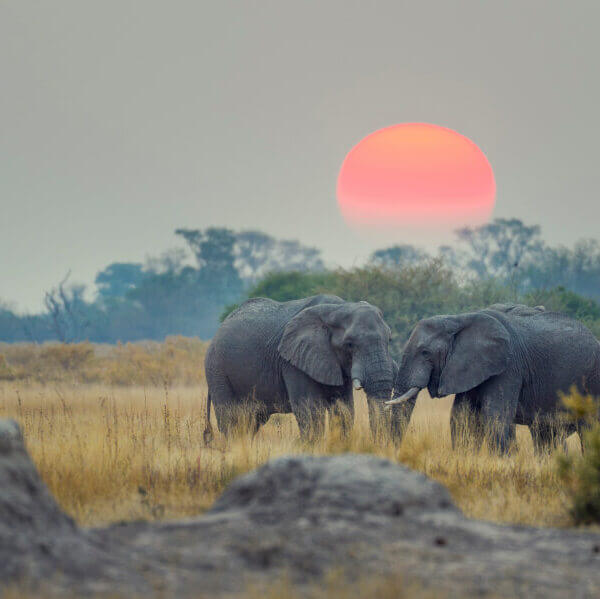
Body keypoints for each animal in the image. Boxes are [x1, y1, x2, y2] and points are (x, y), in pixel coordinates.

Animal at [204, 294, 396, 440]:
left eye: (389, 339)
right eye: (349, 344)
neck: (339, 308)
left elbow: (344, 410)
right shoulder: (292, 362)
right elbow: (310, 411)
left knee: (251, 422)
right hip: (217, 370)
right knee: (231, 420)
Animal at [386, 304, 600, 454]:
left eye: (425, 352)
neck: (458, 319)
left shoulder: (509, 367)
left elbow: (495, 415)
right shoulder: (468, 367)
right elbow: (463, 416)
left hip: (591, 382)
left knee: (588, 431)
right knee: (546, 435)